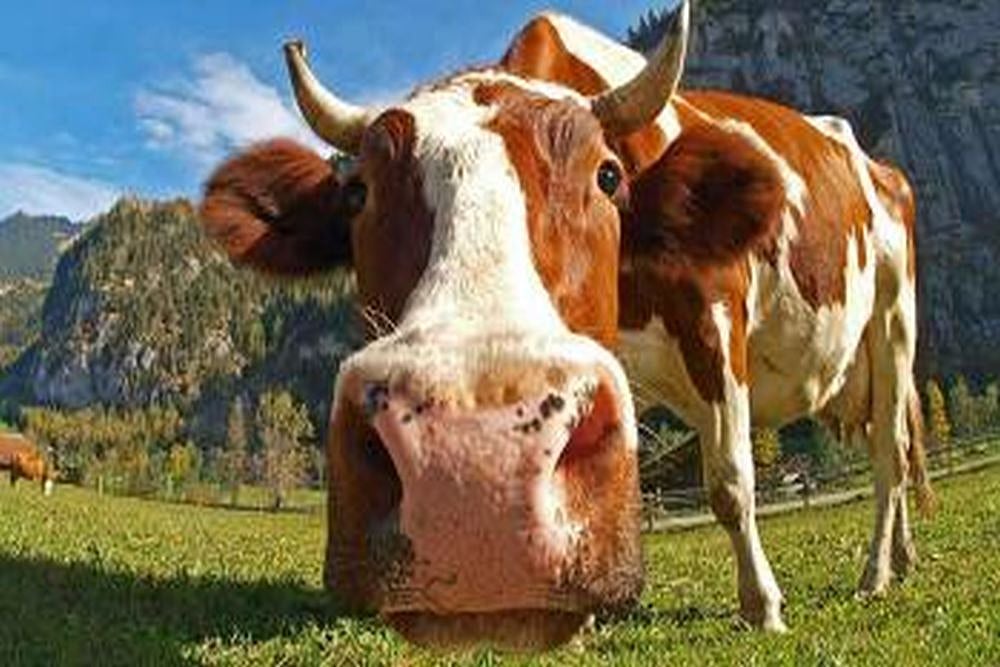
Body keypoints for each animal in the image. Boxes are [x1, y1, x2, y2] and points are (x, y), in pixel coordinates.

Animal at [199, 0, 929, 650]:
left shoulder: (715, 319)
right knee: (884, 442)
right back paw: (904, 556)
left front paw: (762, 606)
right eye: (358, 193)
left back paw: (875, 574)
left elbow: (729, 481)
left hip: (894, 318)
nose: (471, 451)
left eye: (607, 176)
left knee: (892, 451)